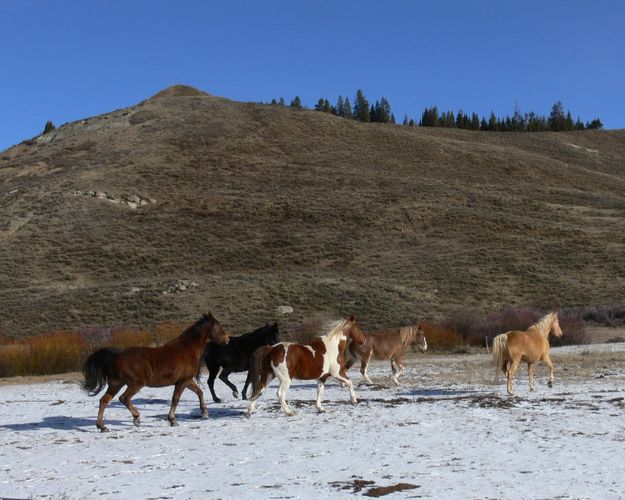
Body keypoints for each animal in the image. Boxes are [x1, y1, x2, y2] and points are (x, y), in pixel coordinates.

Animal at [81, 310, 229, 432]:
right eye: (218, 325)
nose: (227, 339)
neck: (187, 349)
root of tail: (115, 356)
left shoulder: (187, 380)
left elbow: (199, 392)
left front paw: (204, 413)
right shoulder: (182, 382)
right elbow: (176, 399)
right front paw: (172, 420)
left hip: (116, 384)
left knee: (104, 400)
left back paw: (102, 426)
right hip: (135, 384)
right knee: (124, 398)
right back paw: (136, 418)